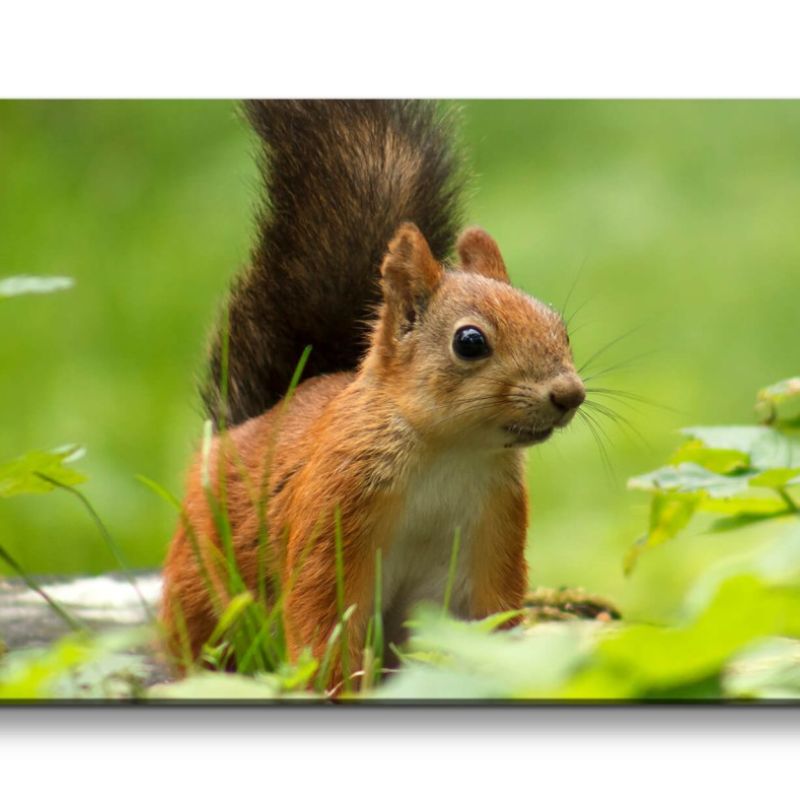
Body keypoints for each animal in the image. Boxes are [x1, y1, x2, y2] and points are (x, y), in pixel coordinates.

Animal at [161, 101, 588, 688]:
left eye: (559, 327)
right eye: (470, 342)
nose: (569, 394)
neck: (448, 452)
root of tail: (238, 432)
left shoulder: (491, 534)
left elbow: (486, 625)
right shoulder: (334, 510)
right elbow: (322, 621)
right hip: (204, 592)